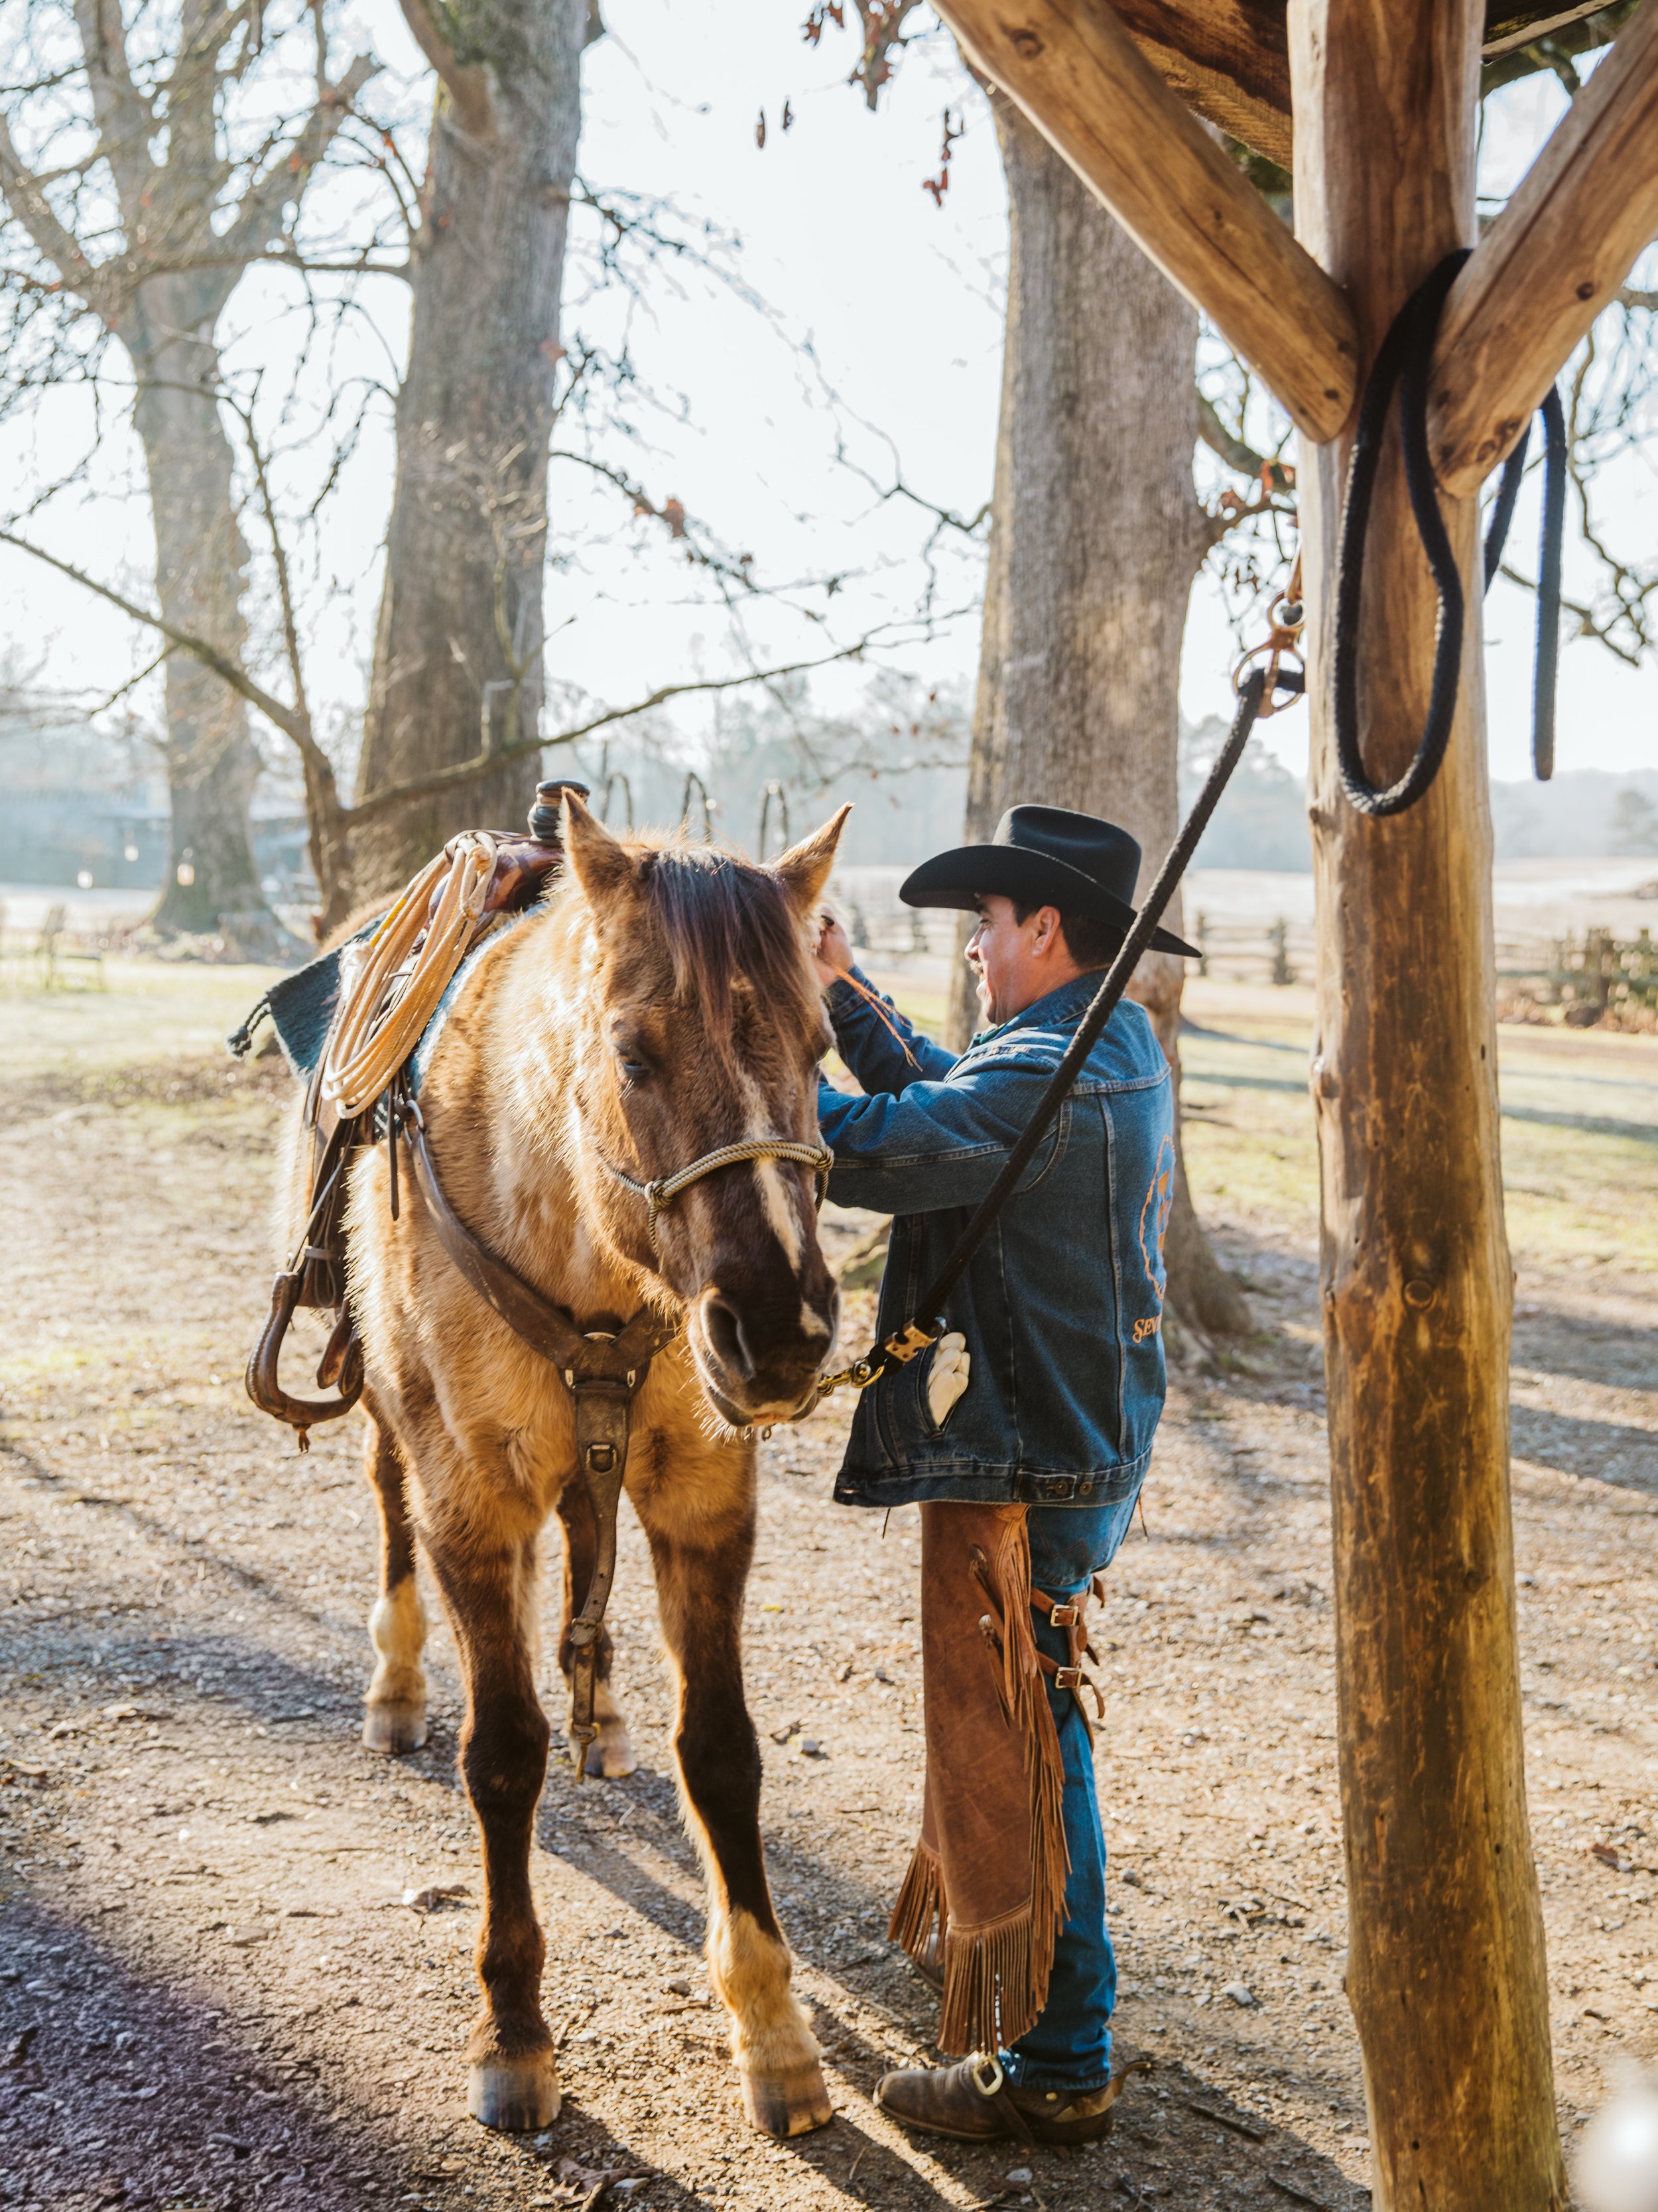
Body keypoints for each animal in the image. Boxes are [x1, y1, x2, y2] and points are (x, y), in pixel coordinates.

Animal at [279, 795, 850, 2137]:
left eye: (821, 1047)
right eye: (634, 1053)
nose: (783, 1331)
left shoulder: (703, 1498)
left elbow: (723, 1750)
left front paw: (772, 2030)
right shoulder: (473, 1506)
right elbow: (503, 1755)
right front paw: (514, 2031)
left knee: (588, 1550)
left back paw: (607, 1709)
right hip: (393, 1409)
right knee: (390, 1510)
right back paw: (398, 1685)